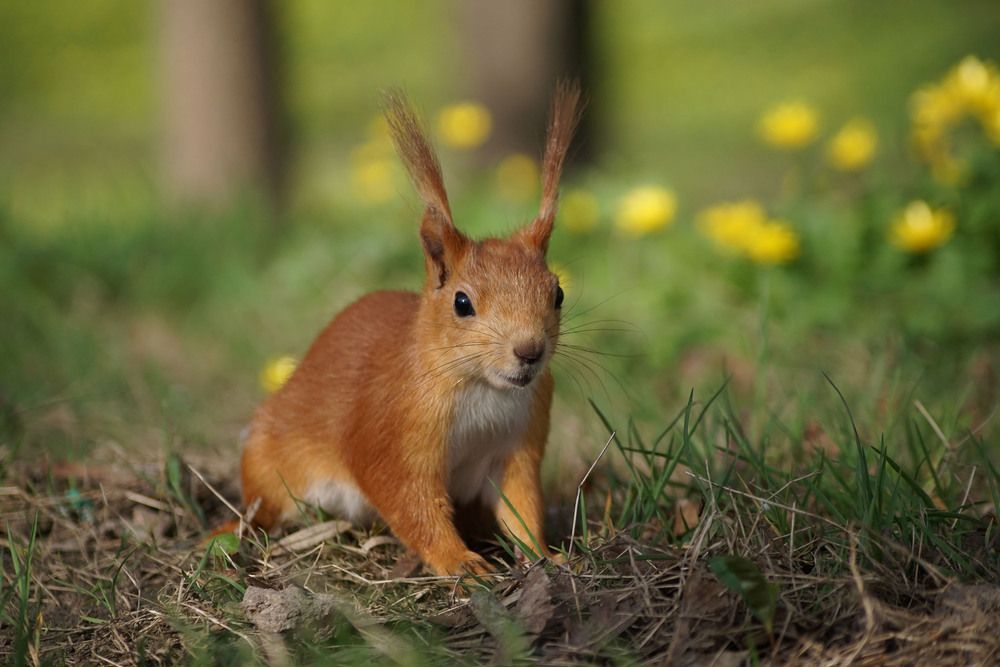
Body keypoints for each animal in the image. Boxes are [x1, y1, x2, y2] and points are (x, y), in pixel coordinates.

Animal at [238, 82, 582, 576]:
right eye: (462, 303)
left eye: (558, 293)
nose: (529, 351)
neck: (481, 388)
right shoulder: (393, 430)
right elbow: (410, 501)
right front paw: (461, 562)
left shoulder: (519, 443)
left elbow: (521, 504)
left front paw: (544, 554)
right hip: (269, 464)